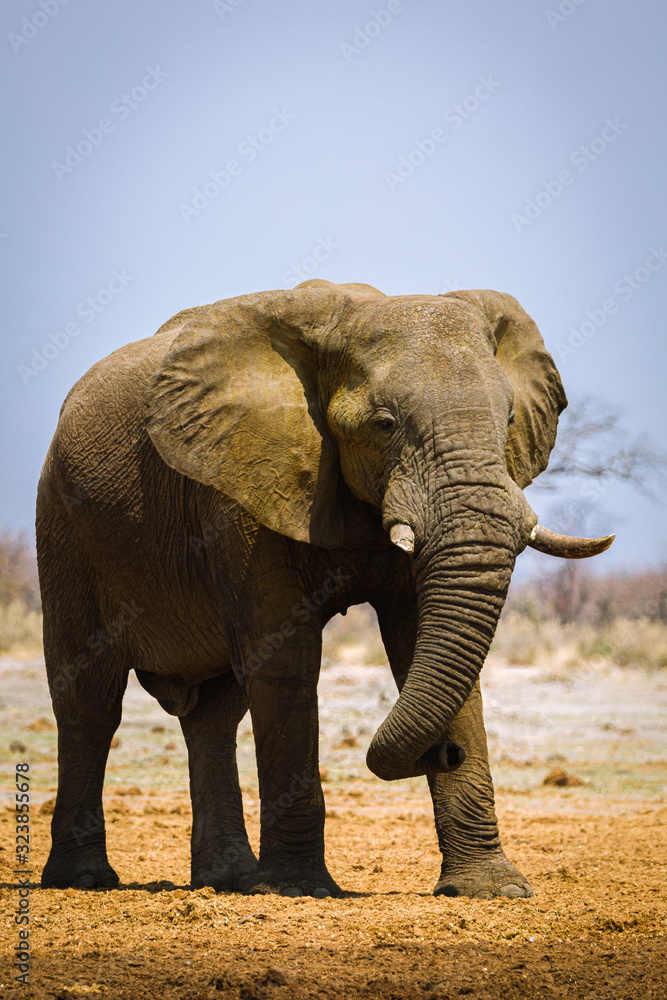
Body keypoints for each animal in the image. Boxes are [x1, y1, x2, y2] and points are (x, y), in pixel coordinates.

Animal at [37, 280, 613, 898]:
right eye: (384, 424)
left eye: (508, 419)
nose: (447, 752)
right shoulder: (242, 488)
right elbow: (286, 659)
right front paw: (297, 890)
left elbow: (422, 642)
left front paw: (490, 891)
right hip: (65, 524)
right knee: (90, 699)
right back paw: (86, 879)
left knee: (215, 714)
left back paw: (229, 880)